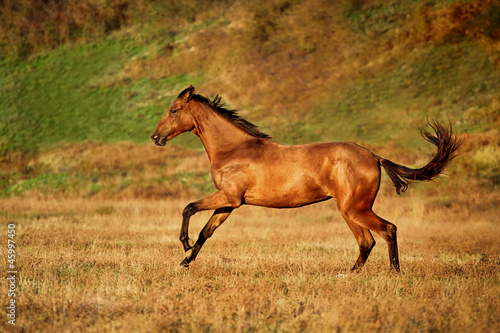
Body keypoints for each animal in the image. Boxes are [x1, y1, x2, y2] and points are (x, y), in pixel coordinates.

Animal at [150, 85, 462, 270]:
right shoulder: (230, 203)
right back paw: (348, 275)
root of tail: (374, 156)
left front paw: (184, 245)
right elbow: (207, 231)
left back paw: (393, 274)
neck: (234, 149)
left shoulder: (228, 197)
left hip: (355, 208)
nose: (155, 137)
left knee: (388, 230)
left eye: (173, 110)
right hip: (349, 210)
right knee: (367, 242)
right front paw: (185, 261)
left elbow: (188, 208)